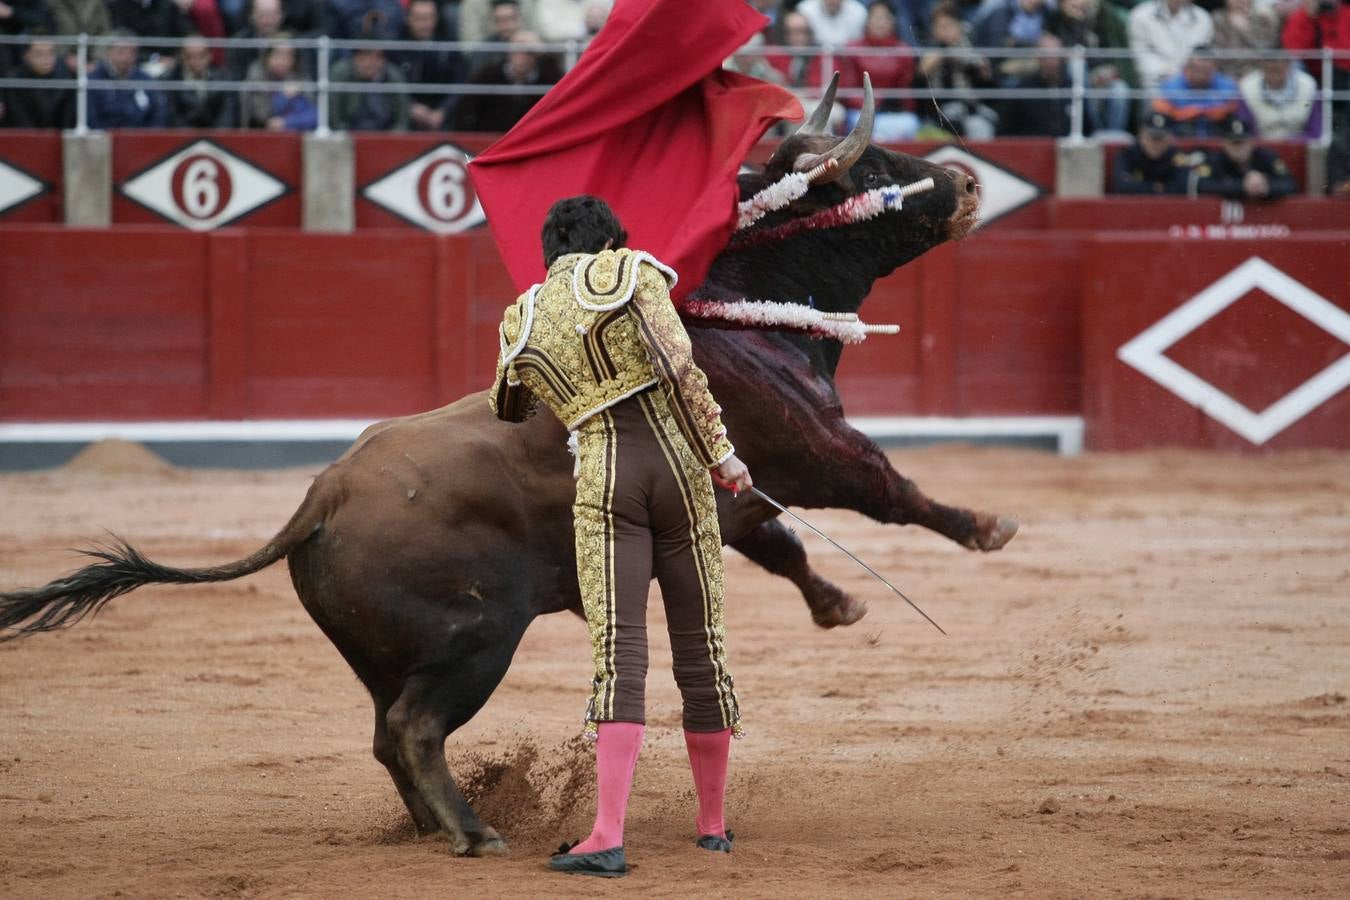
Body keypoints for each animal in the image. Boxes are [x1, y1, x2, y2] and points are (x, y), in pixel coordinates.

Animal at [0, 84, 1015, 858]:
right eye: (875, 174)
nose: (968, 178)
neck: (738, 307)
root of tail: (320, 499)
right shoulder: (814, 448)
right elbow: (890, 490)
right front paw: (987, 527)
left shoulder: (732, 498)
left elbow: (783, 547)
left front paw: (838, 605)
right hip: (474, 641)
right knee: (414, 730)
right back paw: (476, 832)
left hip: (386, 655)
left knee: (385, 736)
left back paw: (437, 825)